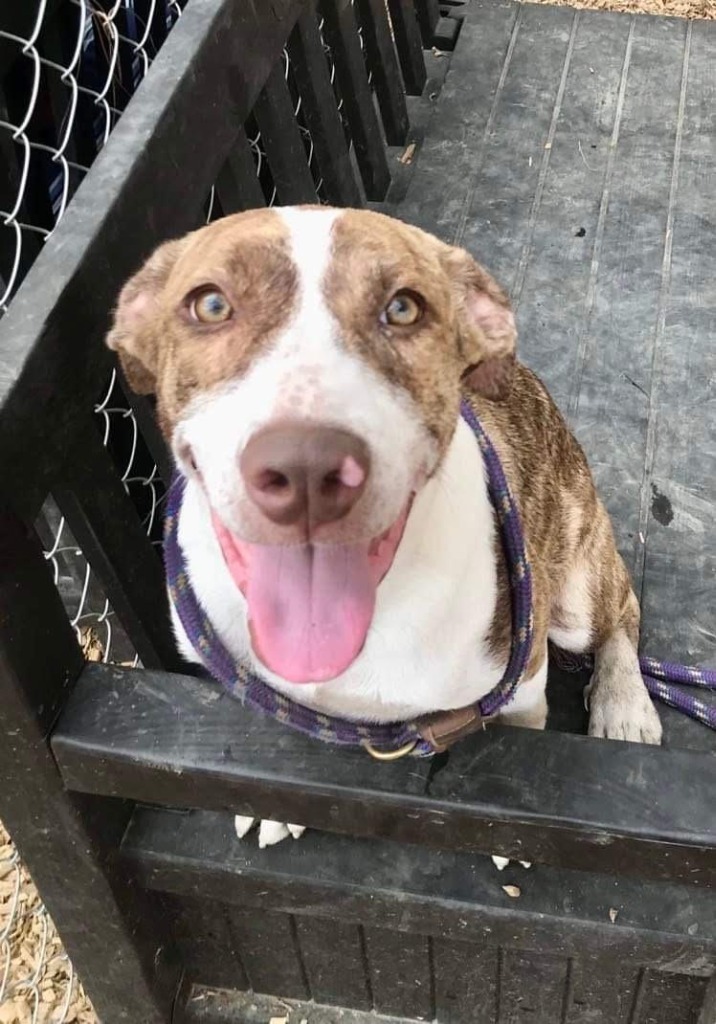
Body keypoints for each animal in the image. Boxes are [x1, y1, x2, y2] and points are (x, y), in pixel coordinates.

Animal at [108, 205, 667, 847]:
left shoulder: (523, 680)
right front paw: (277, 806)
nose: (306, 466)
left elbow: (520, 739)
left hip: (574, 594)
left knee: (622, 609)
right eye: (211, 304)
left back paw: (625, 706)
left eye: (403, 308)